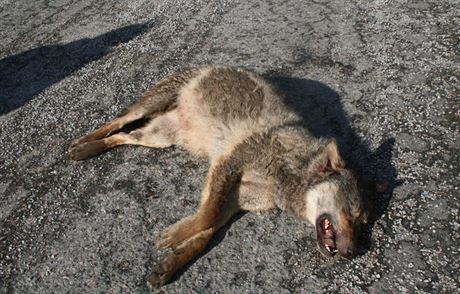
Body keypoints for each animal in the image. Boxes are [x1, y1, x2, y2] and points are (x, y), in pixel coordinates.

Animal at [69, 65, 370, 288]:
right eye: (350, 212)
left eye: (362, 222)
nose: (352, 253)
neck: (285, 178)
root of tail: (203, 65)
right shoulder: (226, 166)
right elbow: (207, 216)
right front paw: (177, 235)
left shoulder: (235, 202)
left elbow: (207, 232)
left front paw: (173, 261)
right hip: (147, 110)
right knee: (115, 122)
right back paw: (83, 142)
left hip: (158, 138)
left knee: (123, 136)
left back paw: (90, 148)